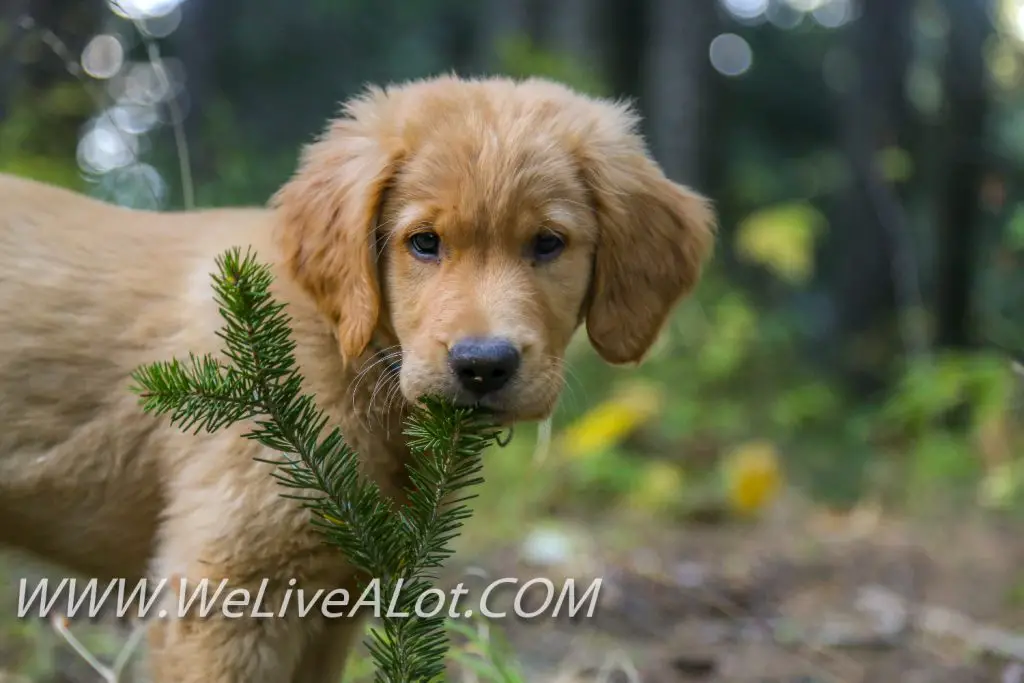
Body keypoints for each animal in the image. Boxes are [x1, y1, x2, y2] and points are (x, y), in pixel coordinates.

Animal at [0, 73, 712, 679]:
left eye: (547, 244)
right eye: (424, 242)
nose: (483, 365)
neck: (351, 356)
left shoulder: (333, 599)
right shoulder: (226, 591)